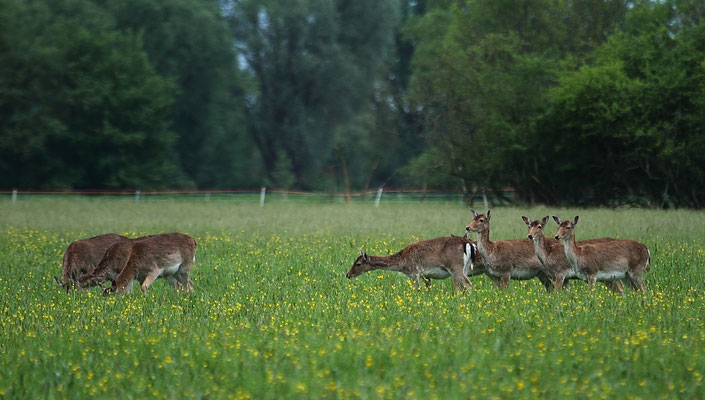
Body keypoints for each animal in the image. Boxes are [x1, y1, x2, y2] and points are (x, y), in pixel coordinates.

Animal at [344, 236, 482, 292]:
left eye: (358, 264)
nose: (347, 274)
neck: (402, 263)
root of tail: (469, 244)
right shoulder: (426, 275)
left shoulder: (415, 272)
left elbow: (416, 289)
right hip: (465, 268)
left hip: (455, 267)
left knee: (468, 284)